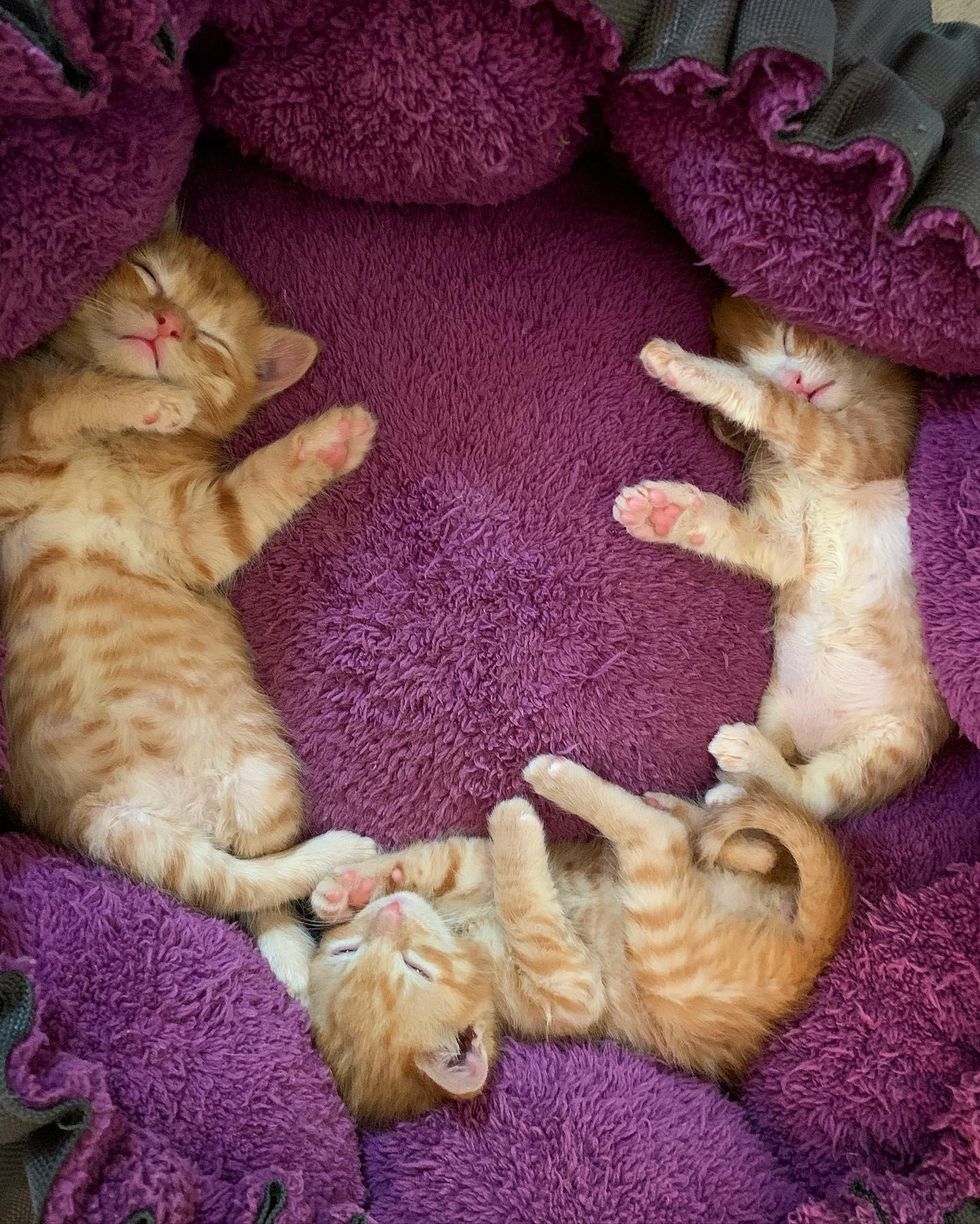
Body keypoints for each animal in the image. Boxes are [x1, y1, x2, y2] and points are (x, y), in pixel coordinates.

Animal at [0, 222, 374, 993]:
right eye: (149, 276)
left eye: (213, 339)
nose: (169, 324)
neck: (121, 451)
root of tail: (193, 809)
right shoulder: (12, 437)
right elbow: (55, 400)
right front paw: (138, 396)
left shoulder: (196, 535)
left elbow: (250, 493)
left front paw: (330, 440)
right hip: (118, 829)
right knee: (230, 885)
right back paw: (325, 902)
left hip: (262, 778)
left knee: (255, 885)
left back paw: (325, 907)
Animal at [302, 753, 846, 1126]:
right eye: (416, 968)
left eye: (347, 952)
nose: (390, 915)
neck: (466, 936)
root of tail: (808, 954)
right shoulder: (566, 994)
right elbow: (527, 910)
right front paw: (512, 823)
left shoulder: (471, 870)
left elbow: (445, 862)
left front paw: (347, 887)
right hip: (665, 948)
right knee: (660, 839)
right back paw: (567, 781)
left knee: (742, 848)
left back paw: (691, 805)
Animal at [611, 298, 949, 822]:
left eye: (790, 336)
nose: (793, 380)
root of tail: (815, 738)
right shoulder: (788, 542)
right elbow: (755, 541)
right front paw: (666, 513)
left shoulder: (872, 443)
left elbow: (783, 410)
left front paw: (684, 366)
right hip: (776, 708)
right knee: (761, 803)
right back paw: (697, 802)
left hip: (896, 745)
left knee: (807, 798)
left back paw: (748, 756)